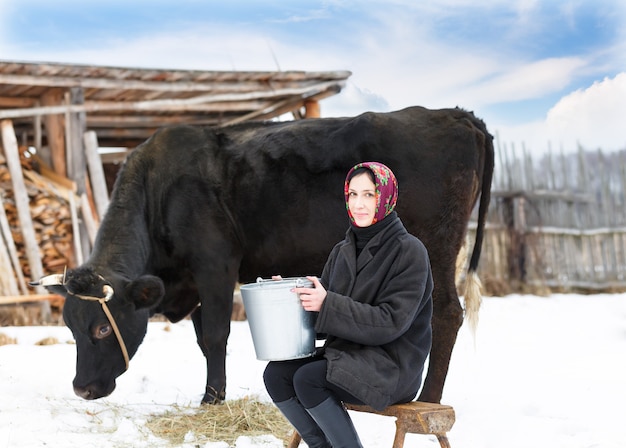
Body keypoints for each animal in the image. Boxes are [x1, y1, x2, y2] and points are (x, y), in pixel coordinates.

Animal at [33, 107, 492, 404]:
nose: (82, 388)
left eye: (102, 329)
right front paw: (214, 393)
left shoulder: (215, 263)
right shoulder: (195, 281)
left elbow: (216, 335)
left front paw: (211, 400)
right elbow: (203, 340)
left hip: (436, 247)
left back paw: (429, 398)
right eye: (70, 326)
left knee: (445, 314)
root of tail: (456, 114)